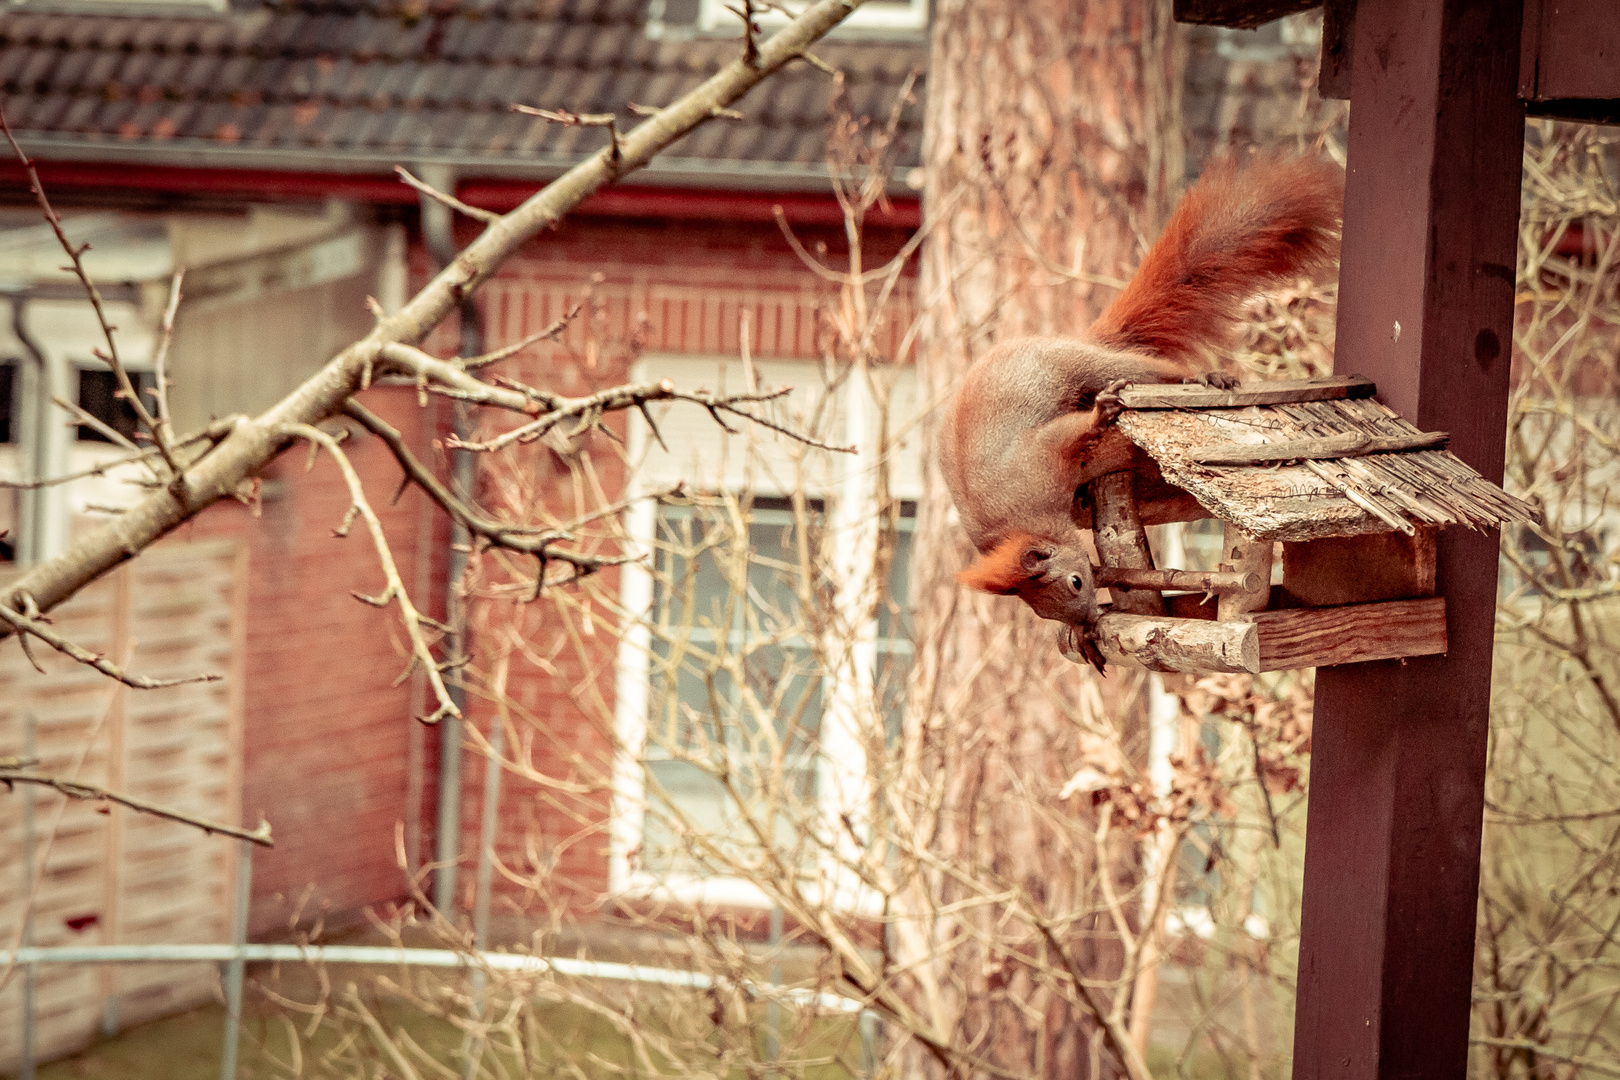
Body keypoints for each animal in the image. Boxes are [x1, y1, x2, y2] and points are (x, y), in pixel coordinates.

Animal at [939, 155, 1341, 654]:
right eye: (1042, 611)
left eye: (1076, 582)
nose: (1087, 618)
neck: (1019, 521)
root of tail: (1082, 339)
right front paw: (1084, 636)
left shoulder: (1037, 458)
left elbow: (1071, 434)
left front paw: (1100, 415)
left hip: (1088, 366)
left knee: (1151, 370)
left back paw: (1202, 377)